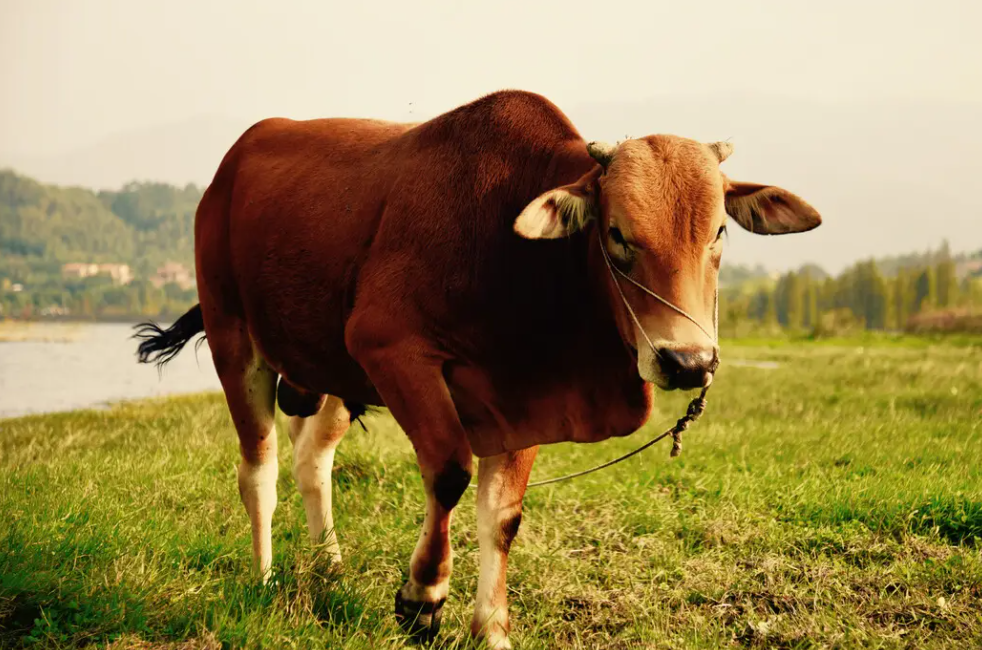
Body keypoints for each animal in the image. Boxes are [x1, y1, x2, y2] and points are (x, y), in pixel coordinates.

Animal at [135, 88, 820, 644]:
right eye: (618, 235)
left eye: (718, 235)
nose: (687, 360)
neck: (514, 261)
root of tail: (229, 169)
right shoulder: (391, 350)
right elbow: (449, 473)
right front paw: (422, 599)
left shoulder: (525, 400)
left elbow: (502, 516)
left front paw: (491, 628)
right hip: (235, 341)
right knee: (260, 470)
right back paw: (265, 577)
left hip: (331, 377)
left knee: (312, 461)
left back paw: (328, 564)